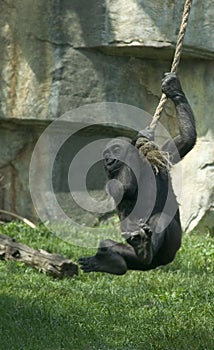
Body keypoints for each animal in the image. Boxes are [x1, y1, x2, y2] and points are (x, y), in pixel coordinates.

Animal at [78, 74, 196, 276]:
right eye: (106, 154)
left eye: (115, 150)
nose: (108, 160)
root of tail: (153, 266)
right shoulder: (109, 178)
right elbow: (122, 188)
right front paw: (137, 140)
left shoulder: (166, 151)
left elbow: (187, 138)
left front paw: (173, 88)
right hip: (138, 256)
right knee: (111, 244)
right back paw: (115, 259)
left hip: (170, 250)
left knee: (158, 219)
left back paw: (136, 252)